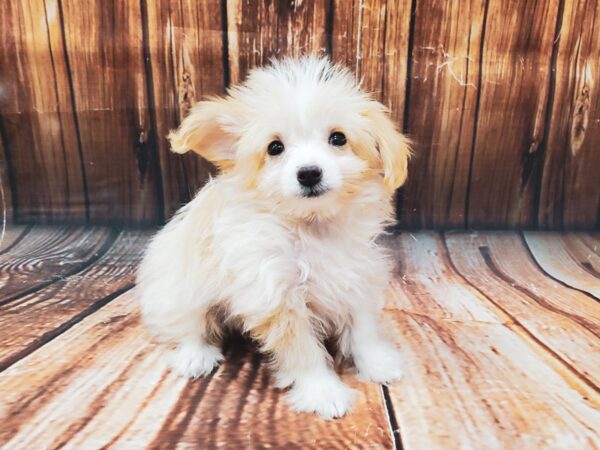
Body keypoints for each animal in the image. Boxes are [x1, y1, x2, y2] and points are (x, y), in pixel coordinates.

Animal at [138, 55, 410, 418]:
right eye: (275, 148)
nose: (308, 173)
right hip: (178, 291)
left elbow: (362, 328)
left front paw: (377, 362)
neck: (312, 227)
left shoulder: (355, 277)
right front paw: (323, 392)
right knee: (188, 325)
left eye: (338, 138)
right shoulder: (276, 296)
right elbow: (304, 352)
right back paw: (195, 354)